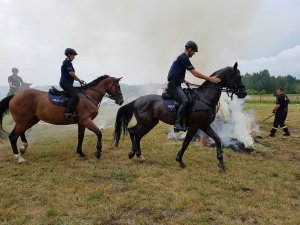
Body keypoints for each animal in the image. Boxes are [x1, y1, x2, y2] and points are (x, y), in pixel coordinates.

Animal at [113, 62, 247, 170]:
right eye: (238, 77)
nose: (244, 93)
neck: (204, 98)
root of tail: (136, 100)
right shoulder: (194, 127)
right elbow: (186, 143)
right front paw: (180, 160)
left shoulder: (204, 125)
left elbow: (218, 140)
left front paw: (221, 162)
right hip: (145, 122)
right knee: (132, 131)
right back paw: (133, 153)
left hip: (151, 123)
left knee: (138, 135)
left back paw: (139, 155)